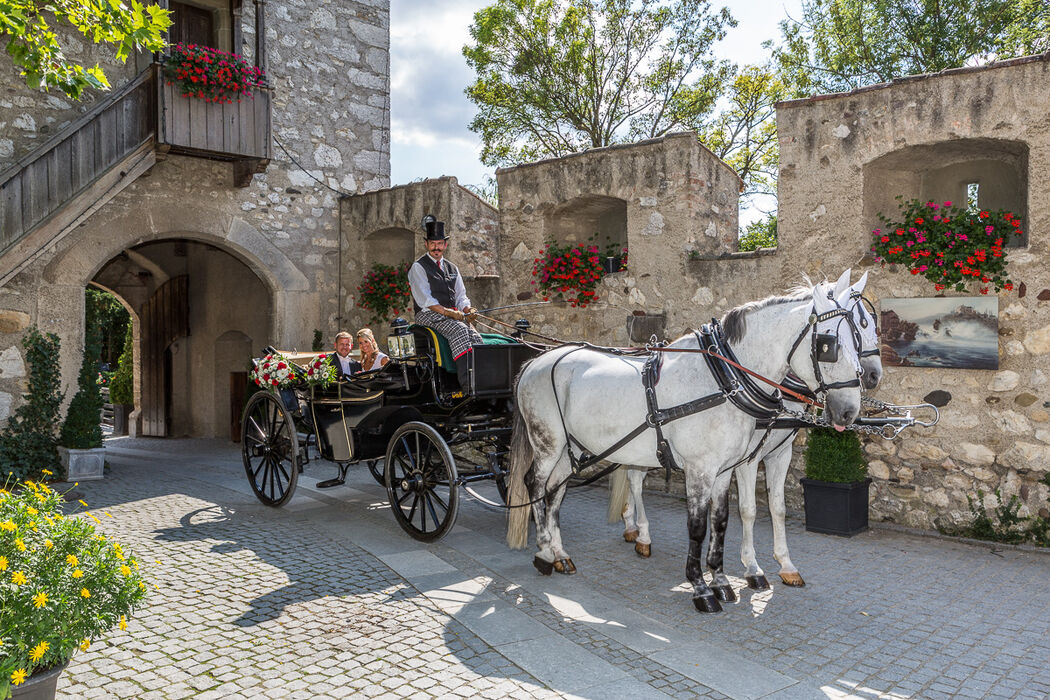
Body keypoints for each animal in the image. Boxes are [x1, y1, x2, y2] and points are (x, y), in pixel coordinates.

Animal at [506, 279, 860, 612]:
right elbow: (698, 526)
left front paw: (720, 581)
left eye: (858, 337)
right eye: (829, 345)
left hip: (572, 449)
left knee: (555, 492)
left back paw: (559, 553)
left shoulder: (724, 470)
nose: (849, 411)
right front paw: (701, 588)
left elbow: (721, 521)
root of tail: (536, 361)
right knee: (535, 484)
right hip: (548, 443)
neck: (722, 380)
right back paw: (543, 552)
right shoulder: (701, 469)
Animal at [613, 270, 881, 587]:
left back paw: (631, 525)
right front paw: (752, 567)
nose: (874, 375)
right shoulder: (747, 459)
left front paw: (786, 564)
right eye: (857, 329)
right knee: (634, 479)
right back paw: (642, 533)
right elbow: (748, 510)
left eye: (868, 325)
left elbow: (777, 508)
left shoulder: (780, 454)